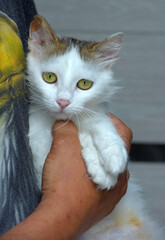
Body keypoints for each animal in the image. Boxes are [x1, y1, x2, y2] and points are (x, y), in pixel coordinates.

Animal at [27, 15, 164, 240]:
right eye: (49, 77)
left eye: (84, 84)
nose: (63, 101)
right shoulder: (37, 147)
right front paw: (98, 165)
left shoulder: (95, 113)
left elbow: (95, 120)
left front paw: (112, 155)